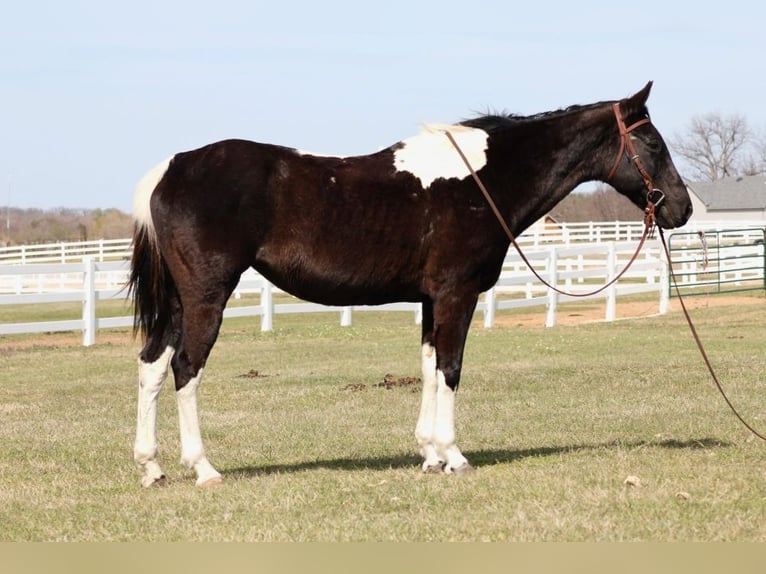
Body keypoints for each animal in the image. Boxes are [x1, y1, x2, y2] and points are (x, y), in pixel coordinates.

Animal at [128, 81, 692, 487]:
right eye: (651, 141)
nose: (681, 209)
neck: (483, 180)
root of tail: (172, 169)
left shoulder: (429, 300)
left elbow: (427, 369)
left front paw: (429, 455)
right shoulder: (457, 294)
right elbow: (451, 369)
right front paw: (455, 457)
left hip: (178, 303)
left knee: (152, 366)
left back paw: (152, 467)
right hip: (207, 296)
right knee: (185, 368)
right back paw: (203, 468)